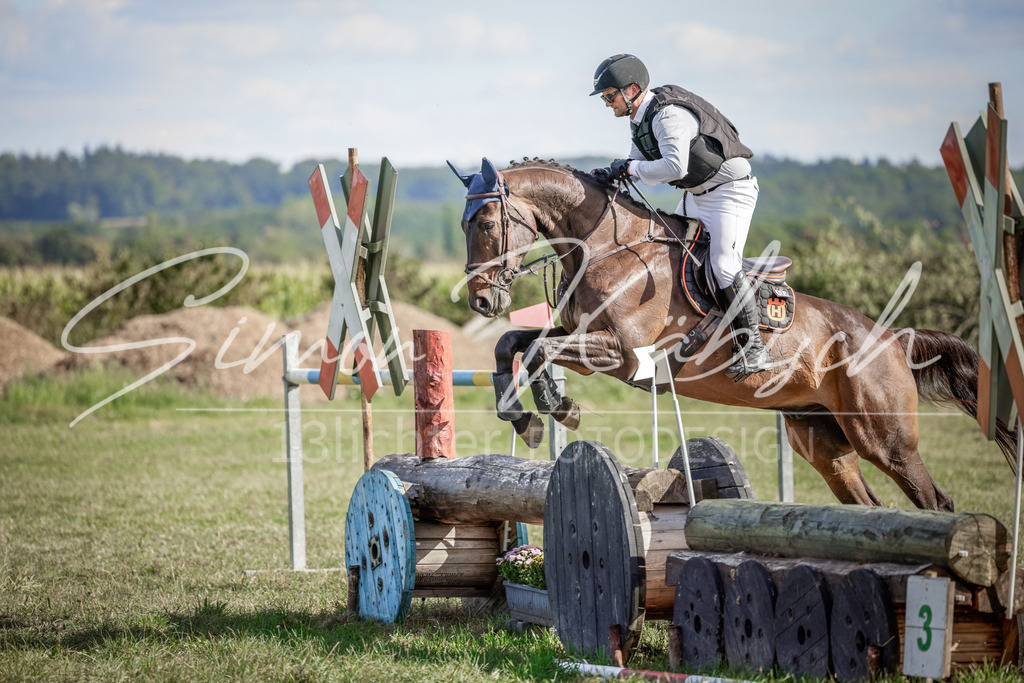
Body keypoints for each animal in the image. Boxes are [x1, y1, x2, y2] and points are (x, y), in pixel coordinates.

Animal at [447, 157, 1017, 511]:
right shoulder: (579, 334)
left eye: (487, 223)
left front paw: (557, 409)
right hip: (824, 442)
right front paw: (524, 417)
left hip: (886, 439)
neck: (607, 245)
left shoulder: (623, 355)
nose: (481, 300)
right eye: (465, 224)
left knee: (934, 500)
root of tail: (893, 337)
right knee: (868, 503)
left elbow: (539, 351)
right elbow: (513, 345)